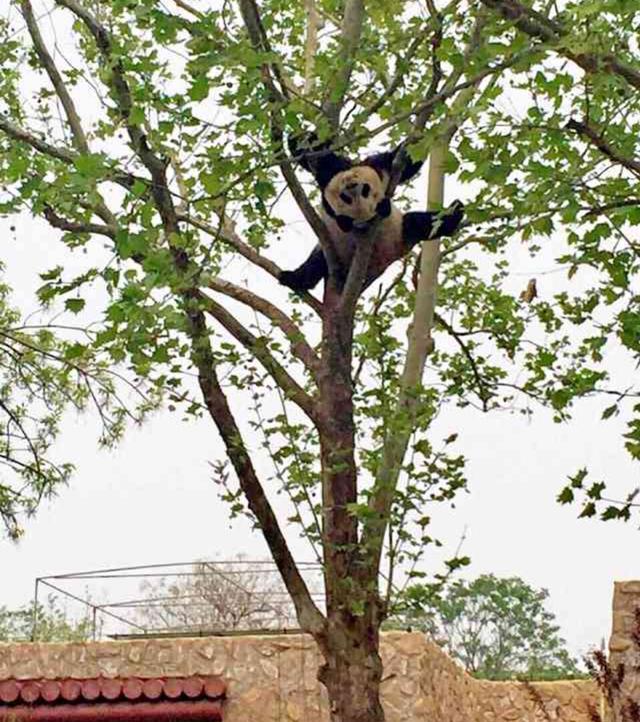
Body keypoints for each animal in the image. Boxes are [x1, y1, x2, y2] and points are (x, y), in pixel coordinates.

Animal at [278, 138, 462, 290]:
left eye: (365, 190)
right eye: (346, 198)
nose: (351, 185)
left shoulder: (382, 173)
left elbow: (407, 160)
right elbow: (323, 162)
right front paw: (297, 142)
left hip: (400, 232)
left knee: (420, 222)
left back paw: (455, 212)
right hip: (333, 249)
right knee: (315, 264)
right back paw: (292, 278)